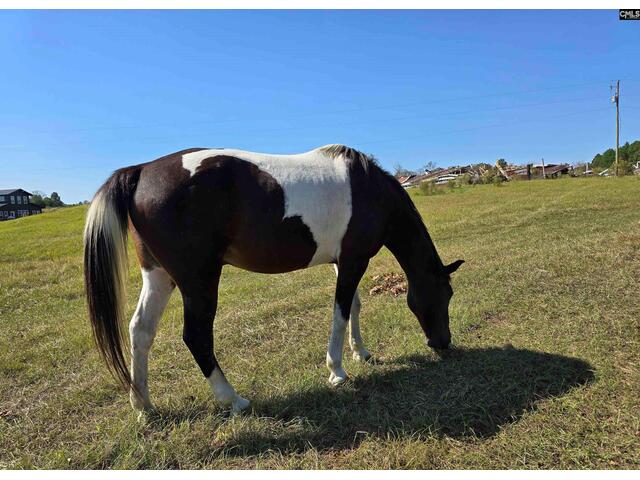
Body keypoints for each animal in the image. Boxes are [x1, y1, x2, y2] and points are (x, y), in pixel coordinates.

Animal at [86, 144, 464, 414]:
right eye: (444, 294)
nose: (443, 343)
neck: (369, 190)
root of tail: (140, 171)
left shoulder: (343, 262)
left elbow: (354, 306)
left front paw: (362, 353)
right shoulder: (354, 262)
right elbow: (341, 313)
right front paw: (337, 371)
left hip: (160, 276)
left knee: (140, 331)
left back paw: (144, 405)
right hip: (198, 280)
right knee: (196, 337)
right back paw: (233, 400)